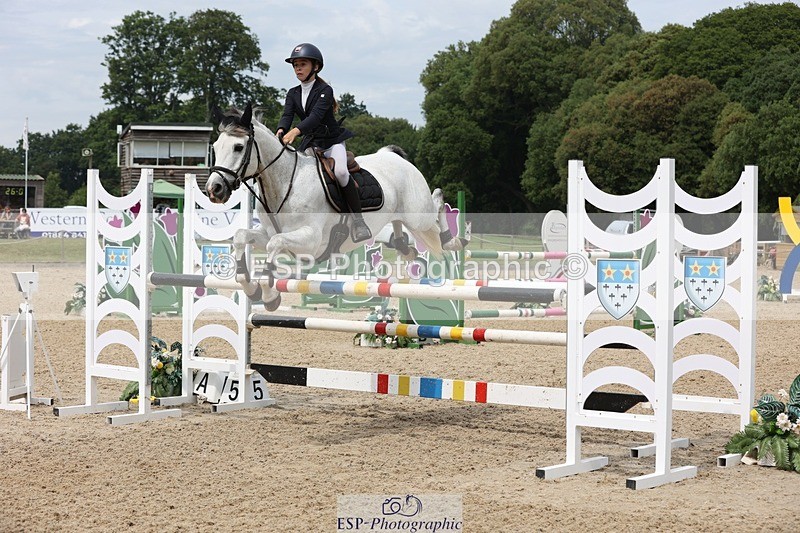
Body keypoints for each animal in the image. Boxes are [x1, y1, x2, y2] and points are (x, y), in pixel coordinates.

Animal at [206, 103, 464, 311]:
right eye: (216, 147)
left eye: (239, 147)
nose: (214, 189)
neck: (285, 182)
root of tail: (395, 157)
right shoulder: (266, 232)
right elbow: (241, 236)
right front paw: (251, 289)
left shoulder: (311, 241)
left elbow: (274, 244)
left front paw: (269, 296)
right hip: (404, 217)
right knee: (402, 234)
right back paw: (406, 247)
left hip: (419, 214)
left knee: (438, 200)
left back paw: (452, 240)